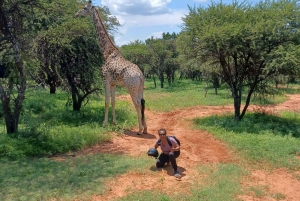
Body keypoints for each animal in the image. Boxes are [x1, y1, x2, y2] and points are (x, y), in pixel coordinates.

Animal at [75, 1, 147, 134]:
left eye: (84, 8)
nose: (76, 14)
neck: (106, 52)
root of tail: (140, 75)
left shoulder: (105, 80)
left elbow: (106, 102)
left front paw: (104, 123)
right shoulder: (113, 83)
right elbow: (113, 102)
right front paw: (114, 123)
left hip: (131, 87)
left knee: (137, 103)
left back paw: (139, 129)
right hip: (140, 87)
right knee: (142, 102)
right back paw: (145, 128)